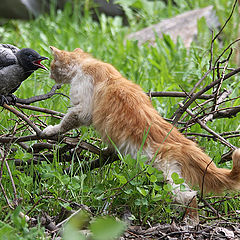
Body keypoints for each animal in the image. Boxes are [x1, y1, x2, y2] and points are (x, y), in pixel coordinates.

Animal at [43, 47, 240, 223]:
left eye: (52, 66)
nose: (49, 75)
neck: (87, 63)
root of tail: (183, 142)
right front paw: (107, 150)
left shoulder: (82, 107)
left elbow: (66, 122)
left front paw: (51, 130)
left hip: (163, 171)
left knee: (188, 196)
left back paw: (190, 223)